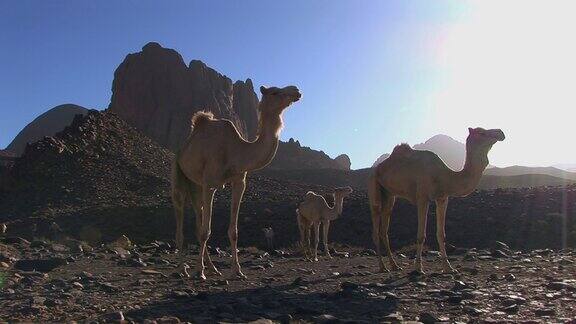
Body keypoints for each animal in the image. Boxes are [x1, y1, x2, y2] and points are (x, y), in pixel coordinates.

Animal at [172, 84, 302, 278]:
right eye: (274, 92)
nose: (296, 91)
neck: (234, 151)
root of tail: (183, 148)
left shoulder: (239, 182)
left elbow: (232, 231)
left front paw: (237, 270)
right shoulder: (209, 184)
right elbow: (205, 231)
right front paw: (200, 271)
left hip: (195, 186)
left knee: (197, 219)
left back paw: (213, 268)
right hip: (179, 176)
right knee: (181, 220)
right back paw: (183, 268)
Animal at [368, 126, 504, 274]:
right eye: (481, 132)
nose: (500, 132)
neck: (444, 176)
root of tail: (378, 167)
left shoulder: (442, 199)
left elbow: (441, 234)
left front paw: (448, 268)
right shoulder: (422, 198)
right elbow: (421, 236)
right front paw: (418, 268)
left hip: (389, 195)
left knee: (384, 229)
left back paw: (394, 265)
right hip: (375, 186)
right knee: (375, 227)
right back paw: (382, 267)